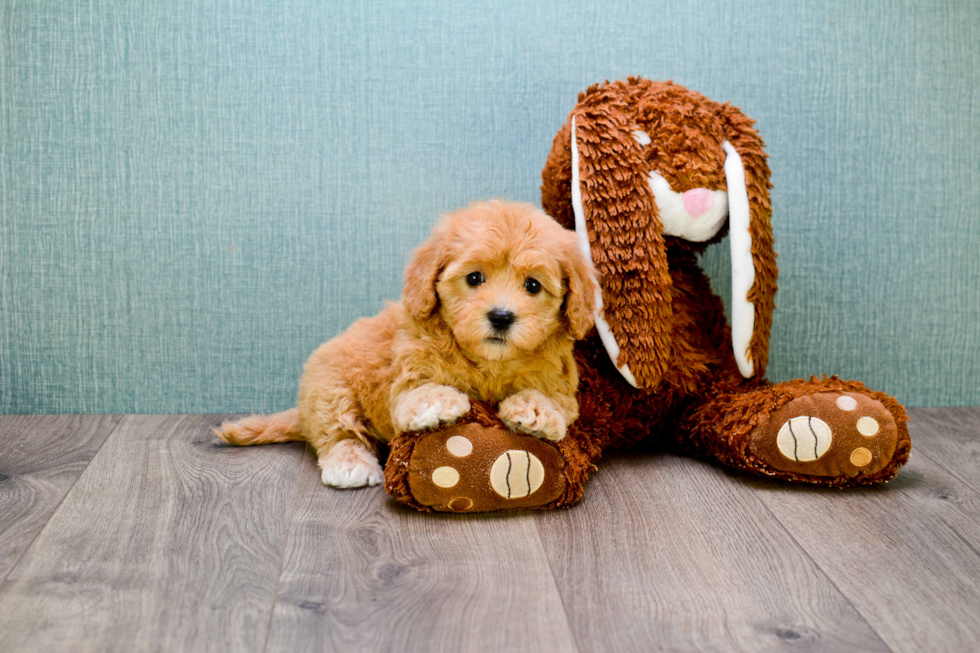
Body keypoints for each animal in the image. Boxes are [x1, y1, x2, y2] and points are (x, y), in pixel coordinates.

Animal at [215, 201, 596, 486]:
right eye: (475, 278)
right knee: (337, 433)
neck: (489, 362)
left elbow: (553, 400)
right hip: (330, 387)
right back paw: (350, 464)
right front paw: (439, 400)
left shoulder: (560, 383)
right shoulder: (408, 371)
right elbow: (419, 391)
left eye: (533, 285)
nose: (501, 317)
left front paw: (535, 410)